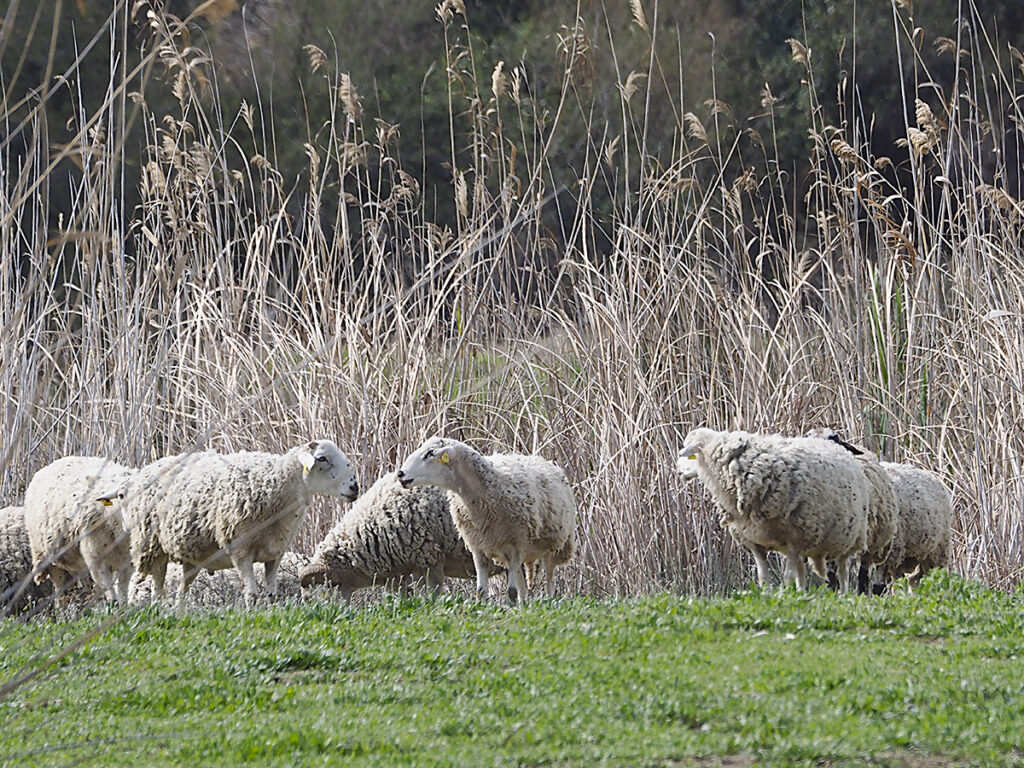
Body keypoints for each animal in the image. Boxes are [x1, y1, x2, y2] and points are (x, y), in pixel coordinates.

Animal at [23, 457, 136, 606]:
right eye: (121, 495)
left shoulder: (128, 563)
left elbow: (123, 593)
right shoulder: (96, 560)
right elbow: (111, 593)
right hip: (49, 558)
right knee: (60, 589)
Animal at [108, 440, 358, 609]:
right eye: (322, 459)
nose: (355, 487)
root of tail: (151, 466)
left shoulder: (275, 553)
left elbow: (272, 594)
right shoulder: (240, 550)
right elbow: (252, 594)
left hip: (191, 557)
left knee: (181, 590)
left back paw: (179, 614)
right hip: (153, 544)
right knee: (158, 588)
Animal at [396, 437, 577, 604]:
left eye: (430, 453)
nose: (400, 474)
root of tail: (545, 460)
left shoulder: (516, 547)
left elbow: (511, 592)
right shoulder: (479, 549)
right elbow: (481, 591)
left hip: (554, 546)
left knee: (549, 581)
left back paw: (548, 600)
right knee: (523, 586)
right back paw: (524, 605)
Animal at [677, 428, 869, 592]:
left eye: (690, 455)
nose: (677, 470)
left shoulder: (795, 538)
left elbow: (787, 576)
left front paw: (783, 597)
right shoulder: (754, 542)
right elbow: (763, 577)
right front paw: (768, 596)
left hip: (850, 535)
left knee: (843, 571)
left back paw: (843, 594)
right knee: (802, 572)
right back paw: (802, 594)